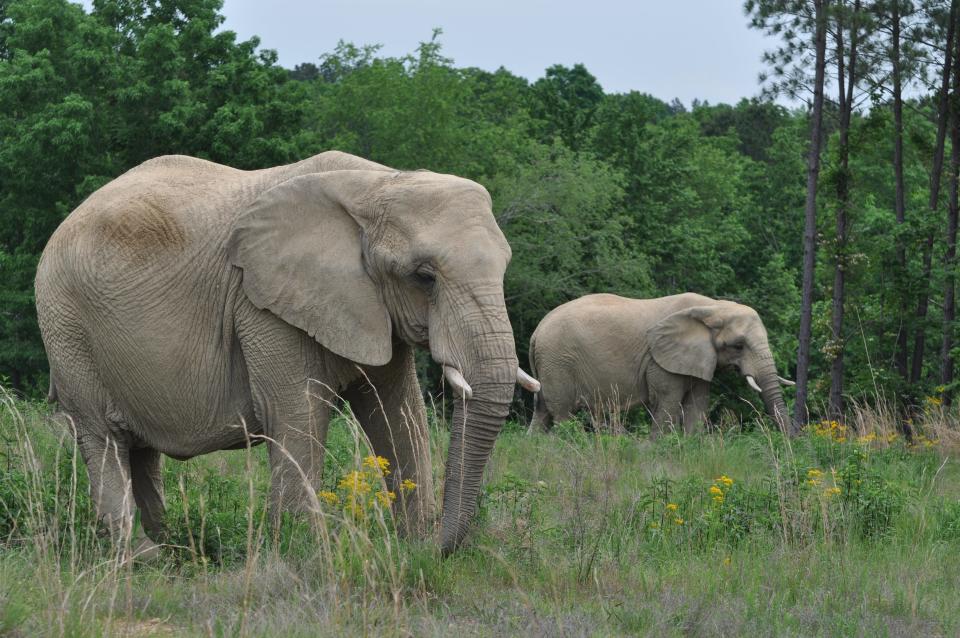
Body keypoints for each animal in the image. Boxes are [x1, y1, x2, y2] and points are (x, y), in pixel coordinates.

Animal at [35, 152, 540, 556]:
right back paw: (140, 557)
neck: (376, 184)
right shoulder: (262, 305)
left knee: (139, 451)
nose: (439, 547)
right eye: (424, 276)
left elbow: (398, 414)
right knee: (103, 437)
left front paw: (412, 544)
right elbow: (298, 413)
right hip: (66, 326)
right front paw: (309, 554)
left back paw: (173, 548)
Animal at [528, 294, 792, 436]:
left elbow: (696, 405)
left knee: (542, 411)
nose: (791, 441)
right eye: (738, 345)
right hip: (558, 361)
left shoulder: (698, 359)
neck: (713, 307)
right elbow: (667, 402)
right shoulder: (660, 360)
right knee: (562, 413)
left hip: (550, 364)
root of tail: (537, 331)